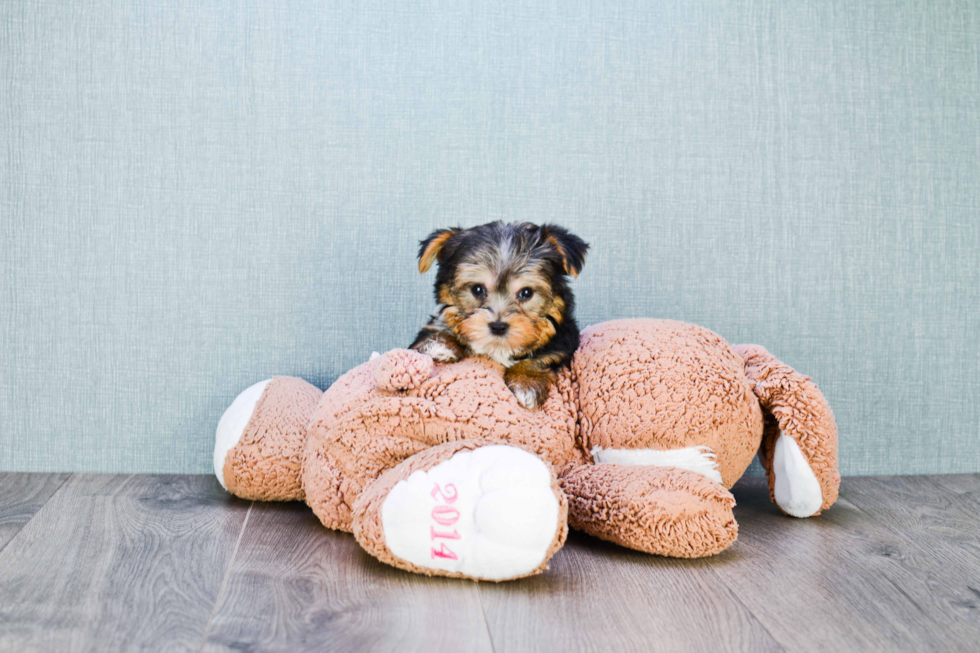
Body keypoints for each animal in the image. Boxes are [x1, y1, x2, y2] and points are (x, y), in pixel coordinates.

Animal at [408, 222, 584, 410]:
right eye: (477, 289)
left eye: (526, 292)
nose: (498, 326)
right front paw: (440, 344)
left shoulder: (564, 341)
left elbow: (545, 356)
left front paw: (526, 382)